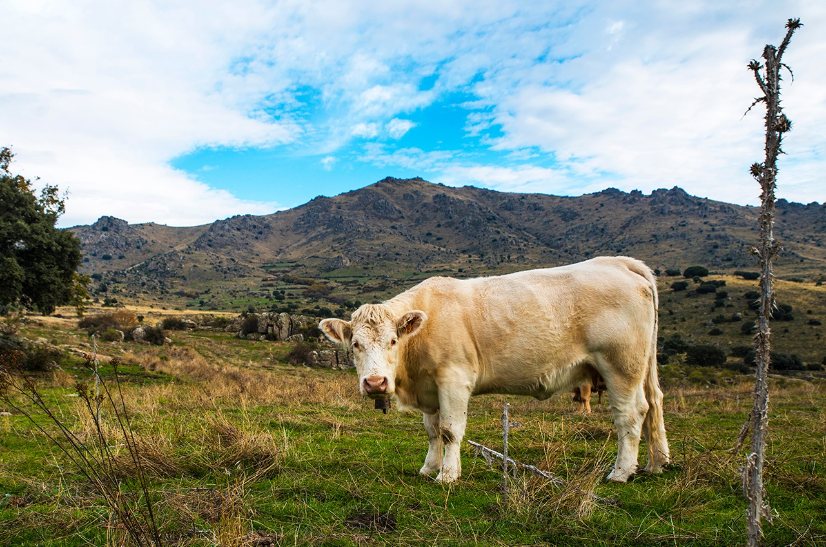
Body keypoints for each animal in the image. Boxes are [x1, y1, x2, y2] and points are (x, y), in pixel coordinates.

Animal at [318, 256, 668, 484]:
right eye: (355, 345)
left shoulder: (454, 379)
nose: (375, 383)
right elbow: (432, 431)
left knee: (632, 413)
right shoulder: (430, 387)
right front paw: (429, 468)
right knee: (655, 404)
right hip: (641, 367)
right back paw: (657, 463)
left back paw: (621, 472)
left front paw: (447, 475)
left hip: (620, 366)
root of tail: (618, 262)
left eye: (392, 340)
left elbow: (449, 430)